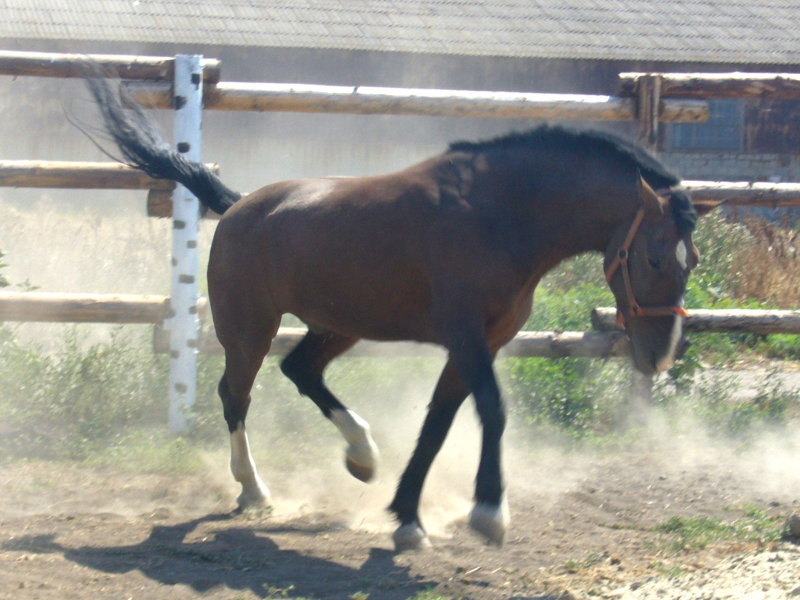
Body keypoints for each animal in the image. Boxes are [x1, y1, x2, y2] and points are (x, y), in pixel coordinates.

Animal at [86, 77, 720, 552]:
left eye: (693, 260)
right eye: (655, 256)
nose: (658, 355)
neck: (500, 213)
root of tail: (238, 205)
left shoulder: (482, 341)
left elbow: (438, 422)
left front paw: (407, 517)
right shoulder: (465, 336)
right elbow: (492, 411)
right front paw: (488, 511)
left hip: (336, 325)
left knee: (301, 372)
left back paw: (362, 457)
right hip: (248, 329)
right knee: (234, 396)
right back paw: (254, 490)